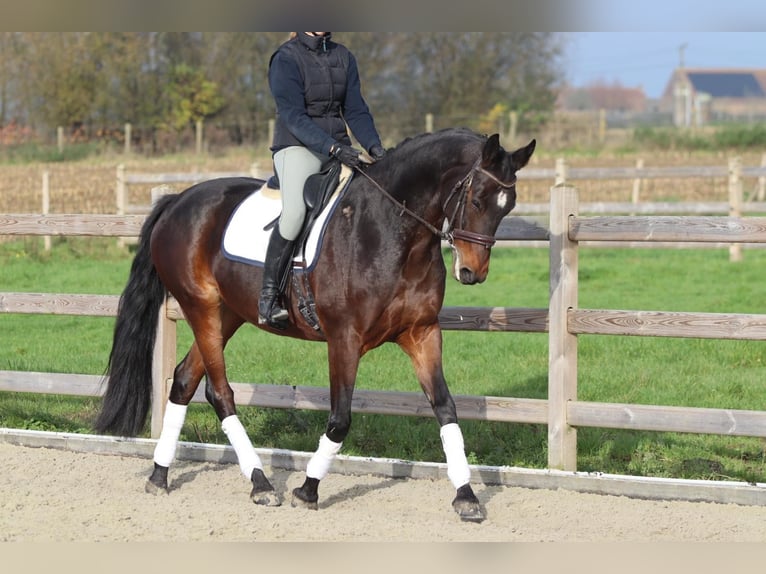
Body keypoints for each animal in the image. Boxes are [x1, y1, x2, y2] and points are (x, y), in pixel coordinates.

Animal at [96, 128, 536, 524]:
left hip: (228, 314)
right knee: (219, 392)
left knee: (185, 380)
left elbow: (446, 410)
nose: (472, 273)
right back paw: (260, 485)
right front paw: (307, 490)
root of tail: (177, 201)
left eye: (508, 206)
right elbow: (340, 419)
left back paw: (160, 474)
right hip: (200, 307)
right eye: (476, 199)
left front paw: (466, 496)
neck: (393, 233)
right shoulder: (344, 339)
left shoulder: (423, 333)